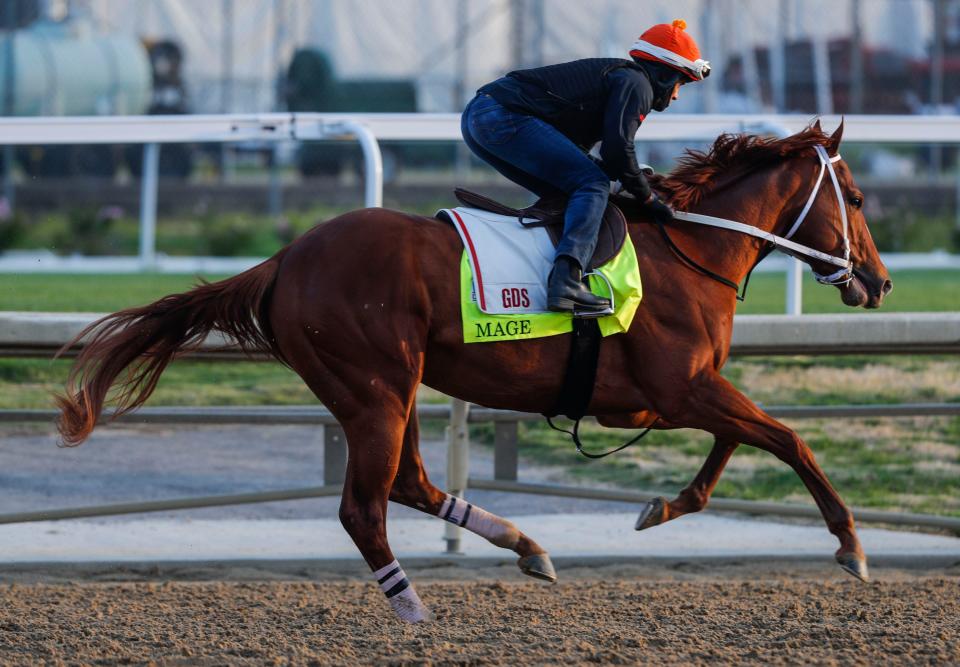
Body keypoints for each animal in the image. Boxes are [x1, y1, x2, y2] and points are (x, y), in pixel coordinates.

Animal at [54, 118, 892, 620]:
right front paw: (851, 544)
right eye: (854, 196)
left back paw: (525, 546)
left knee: (410, 484)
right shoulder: (677, 388)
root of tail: (285, 258)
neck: (689, 246)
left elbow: (739, 442)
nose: (879, 281)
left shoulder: (678, 394)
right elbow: (786, 438)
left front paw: (664, 505)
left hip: (385, 391)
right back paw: (413, 607)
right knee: (365, 507)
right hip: (376, 390)